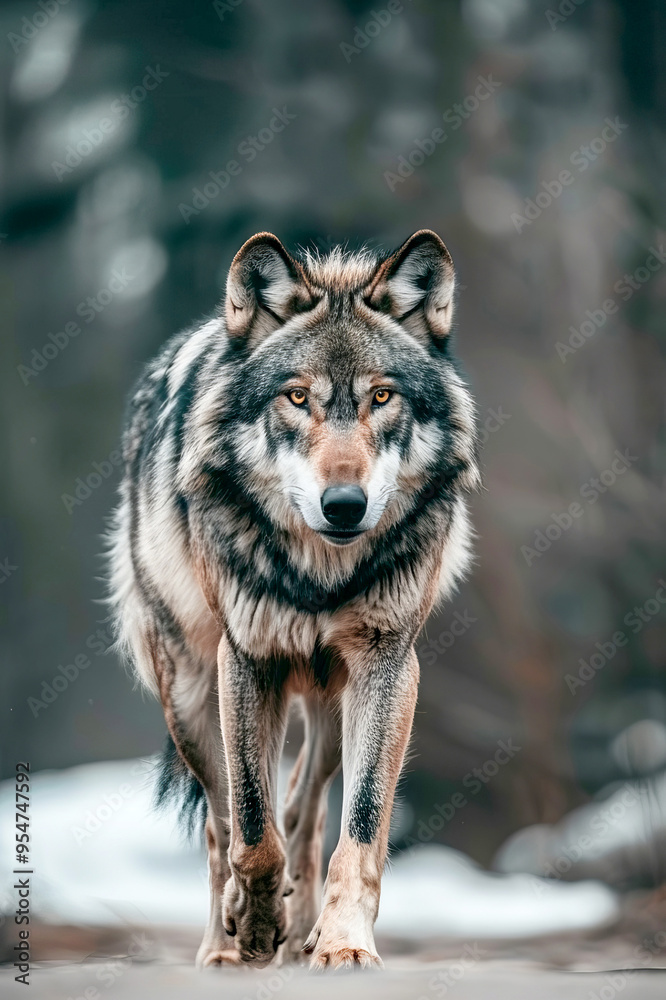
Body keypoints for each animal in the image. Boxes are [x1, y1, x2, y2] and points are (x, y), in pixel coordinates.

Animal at [108, 229, 480, 969]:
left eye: (383, 397)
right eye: (298, 397)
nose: (345, 504)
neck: (321, 575)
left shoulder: (387, 667)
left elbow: (358, 823)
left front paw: (341, 941)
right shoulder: (248, 661)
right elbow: (251, 826)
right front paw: (252, 927)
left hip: (331, 707)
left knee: (306, 813)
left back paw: (303, 930)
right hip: (191, 698)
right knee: (222, 821)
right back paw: (224, 947)